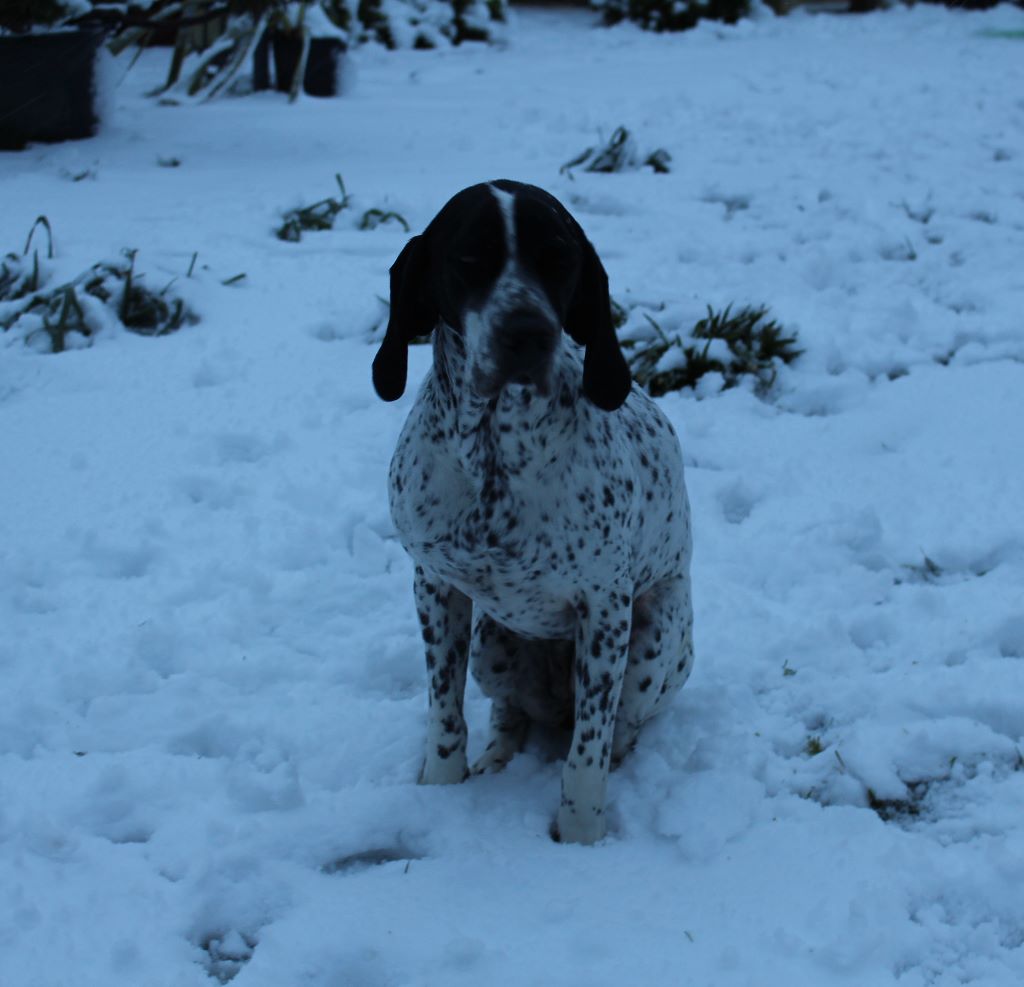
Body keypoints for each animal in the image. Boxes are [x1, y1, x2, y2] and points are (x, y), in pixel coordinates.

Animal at [376, 177, 696, 839]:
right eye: (469, 258)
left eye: (559, 258)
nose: (527, 331)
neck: (494, 456)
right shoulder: (436, 587)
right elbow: (445, 715)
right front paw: (442, 791)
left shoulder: (606, 609)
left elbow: (587, 752)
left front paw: (579, 836)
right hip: (493, 645)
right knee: (509, 716)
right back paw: (496, 761)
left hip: (654, 635)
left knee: (617, 730)